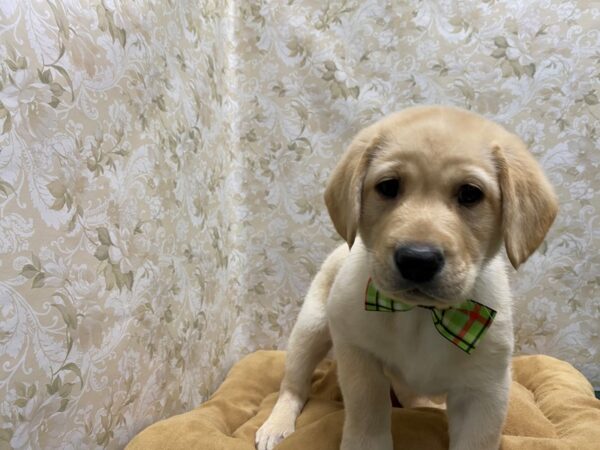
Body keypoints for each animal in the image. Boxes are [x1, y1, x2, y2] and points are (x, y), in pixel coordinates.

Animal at [254, 106, 556, 450]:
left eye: (470, 194)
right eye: (388, 187)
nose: (418, 261)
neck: (421, 316)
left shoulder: (486, 390)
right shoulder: (359, 357)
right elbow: (368, 417)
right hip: (311, 328)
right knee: (293, 383)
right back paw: (276, 425)